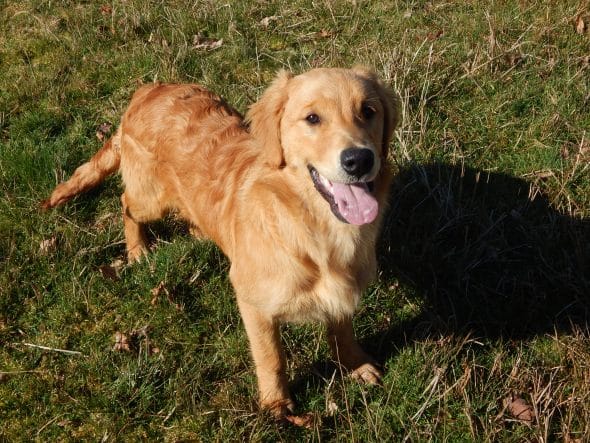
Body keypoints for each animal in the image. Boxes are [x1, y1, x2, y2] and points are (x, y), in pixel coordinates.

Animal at [42, 67, 402, 424]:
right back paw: (137, 248)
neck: (312, 229)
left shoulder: (339, 293)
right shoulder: (253, 303)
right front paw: (276, 405)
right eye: (312, 118)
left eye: (368, 111)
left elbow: (342, 332)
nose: (359, 160)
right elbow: (272, 358)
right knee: (126, 202)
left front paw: (355, 364)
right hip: (151, 199)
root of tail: (148, 89)